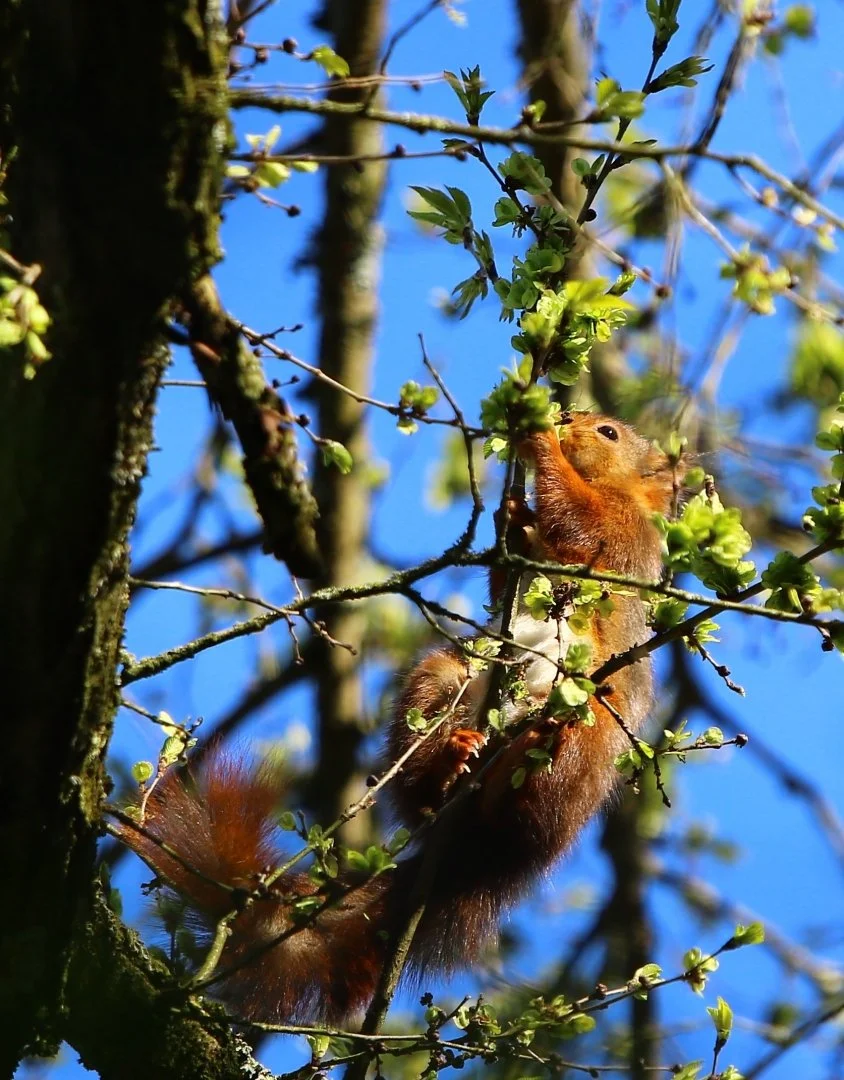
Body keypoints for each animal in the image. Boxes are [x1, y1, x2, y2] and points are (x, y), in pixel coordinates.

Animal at [115, 412, 683, 1025]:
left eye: (609, 433)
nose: (565, 416)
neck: (626, 491)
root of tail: (485, 853)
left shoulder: (620, 537)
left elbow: (579, 518)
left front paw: (539, 449)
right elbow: (513, 578)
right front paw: (512, 518)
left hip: (588, 734)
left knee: (534, 790)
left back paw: (538, 744)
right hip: (443, 680)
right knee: (424, 781)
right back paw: (450, 763)